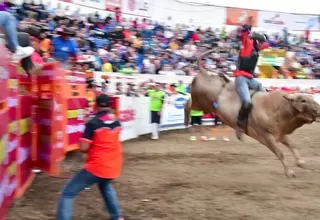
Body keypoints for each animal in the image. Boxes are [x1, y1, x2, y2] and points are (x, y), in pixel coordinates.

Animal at [185, 49, 320, 178]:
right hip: (199, 102)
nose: (318, 110)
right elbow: (280, 153)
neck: (275, 109)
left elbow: (292, 145)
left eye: (311, 98)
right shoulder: (266, 137)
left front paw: (301, 163)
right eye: (303, 100)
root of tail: (205, 73)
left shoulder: (280, 134)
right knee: (187, 104)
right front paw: (289, 172)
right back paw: (186, 122)